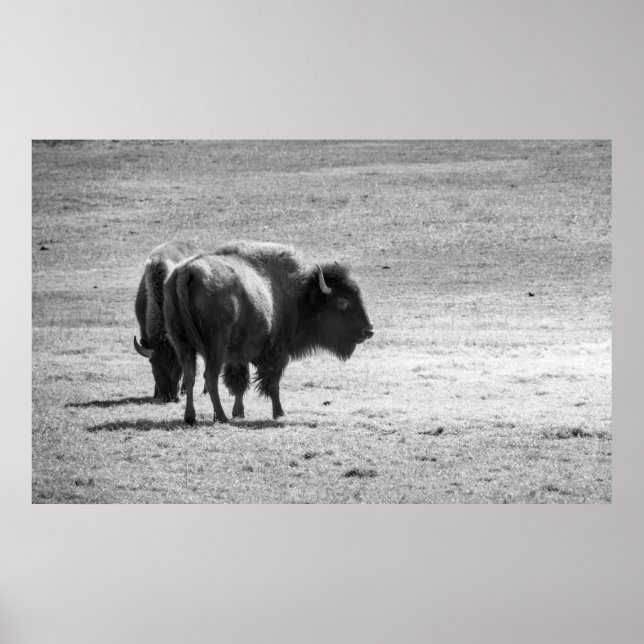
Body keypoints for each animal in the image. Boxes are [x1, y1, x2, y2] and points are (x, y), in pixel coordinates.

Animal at [163, 241, 374, 423]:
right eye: (342, 302)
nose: (368, 331)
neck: (300, 296)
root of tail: (187, 272)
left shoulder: (238, 355)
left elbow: (239, 382)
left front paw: (239, 413)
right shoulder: (277, 352)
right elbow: (273, 383)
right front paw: (279, 413)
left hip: (182, 344)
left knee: (190, 375)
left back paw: (191, 417)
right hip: (215, 348)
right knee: (210, 377)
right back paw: (220, 417)